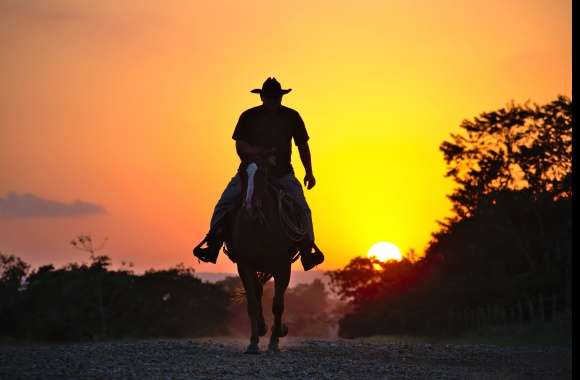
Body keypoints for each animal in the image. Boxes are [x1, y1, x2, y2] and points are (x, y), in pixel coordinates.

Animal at [223, 157, 302, 354]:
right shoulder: (244, 265)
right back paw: (262, 328)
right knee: (258, 293)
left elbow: (277, 305)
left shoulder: (282, 266)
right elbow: (252, 303)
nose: (249, 206)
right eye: (242, 174)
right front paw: (253, 343)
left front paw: (275, 340)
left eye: (264, 174)